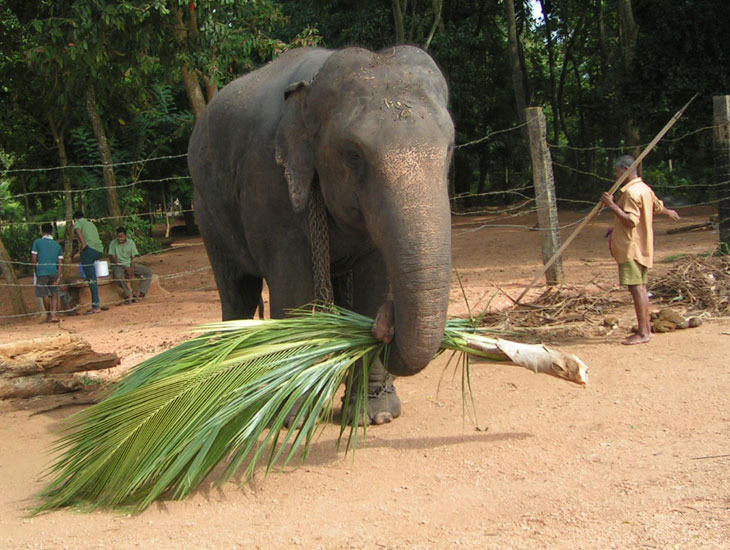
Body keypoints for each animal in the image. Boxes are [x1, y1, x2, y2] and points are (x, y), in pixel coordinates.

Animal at [185, 47, 452, 426]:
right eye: (353, 154)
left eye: (449, 148)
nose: (389, 322)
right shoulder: (269, 186)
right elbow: (294, 292)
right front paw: (289, 417)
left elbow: (372, 286)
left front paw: (377, 416)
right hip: (206, 211)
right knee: (237, 292)